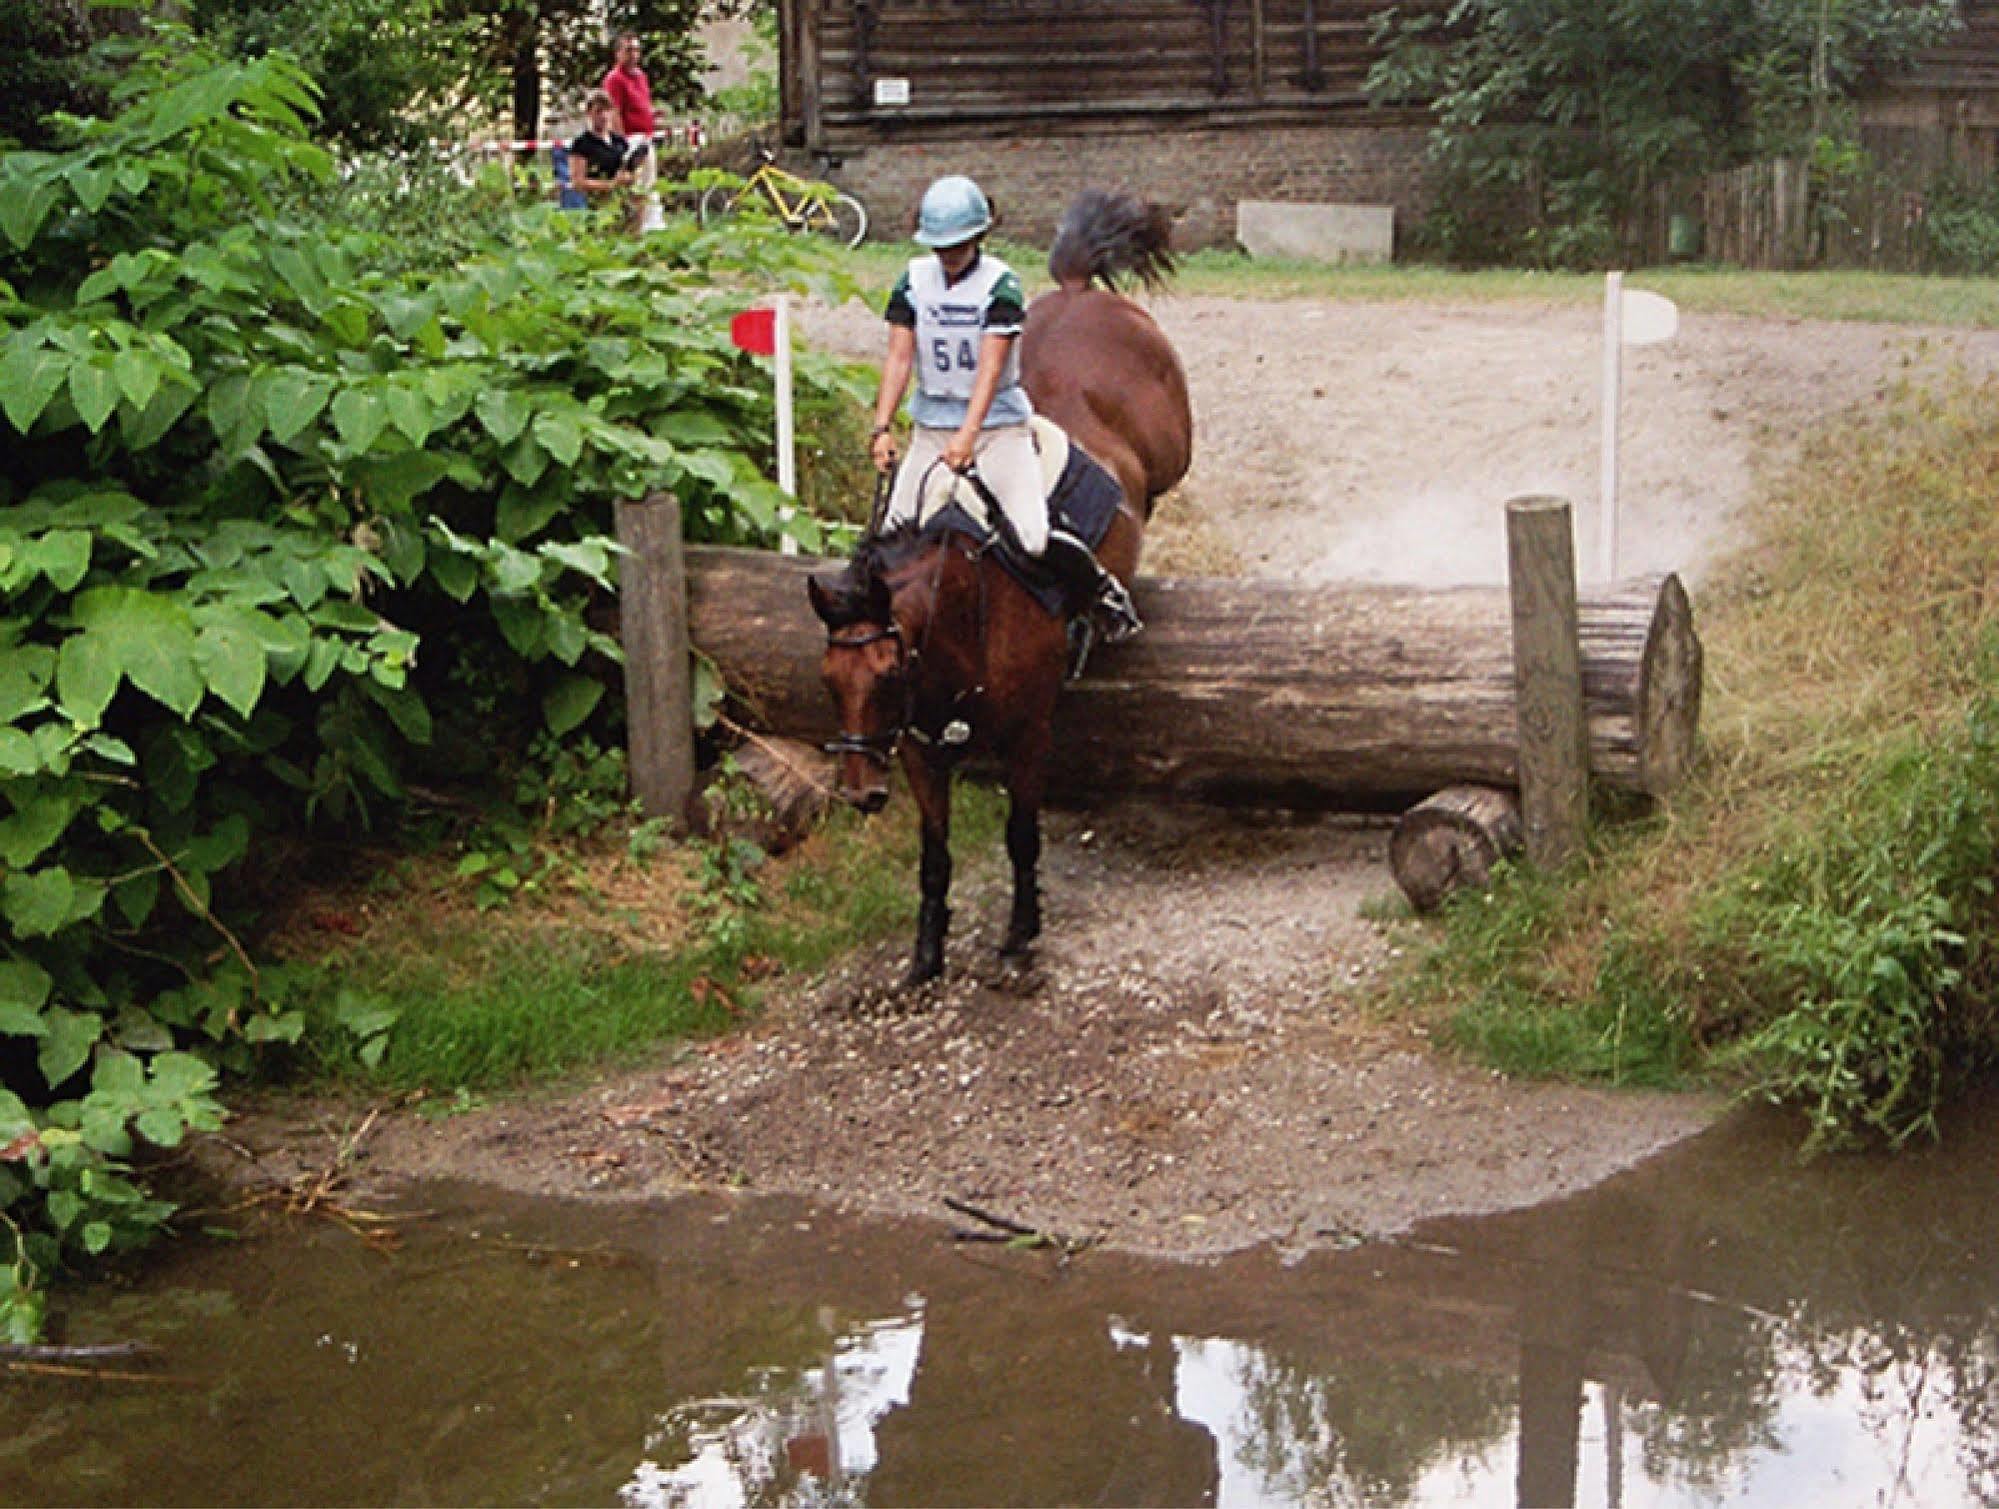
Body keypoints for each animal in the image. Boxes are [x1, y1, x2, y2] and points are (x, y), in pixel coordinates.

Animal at [803, 185, 1191, 991]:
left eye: (885, 674)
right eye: (829, 680)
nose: (861, 795)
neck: (959, 624)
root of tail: (1076, 295)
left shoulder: (1029, 733)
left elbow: (1020, 834)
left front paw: (1019, 935)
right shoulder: (919, 749)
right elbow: (934, 854)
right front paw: (925, 953)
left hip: (1172, 440)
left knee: (1167, 479)